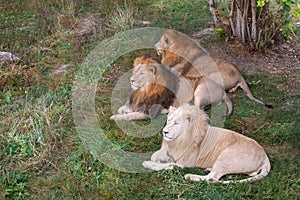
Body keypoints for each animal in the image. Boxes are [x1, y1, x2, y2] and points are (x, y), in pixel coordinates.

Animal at [142, 104, 270, 184]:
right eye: (168, 120)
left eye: (176, 123)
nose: (164, 131)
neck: (180, 139)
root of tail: (265, 157)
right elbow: (155, 155)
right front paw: (156, 159)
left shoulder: (182, 163)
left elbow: (166, 165)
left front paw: (148, 164)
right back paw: (208, 169)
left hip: (226, 156)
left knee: (212, 178)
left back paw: (190, 176)